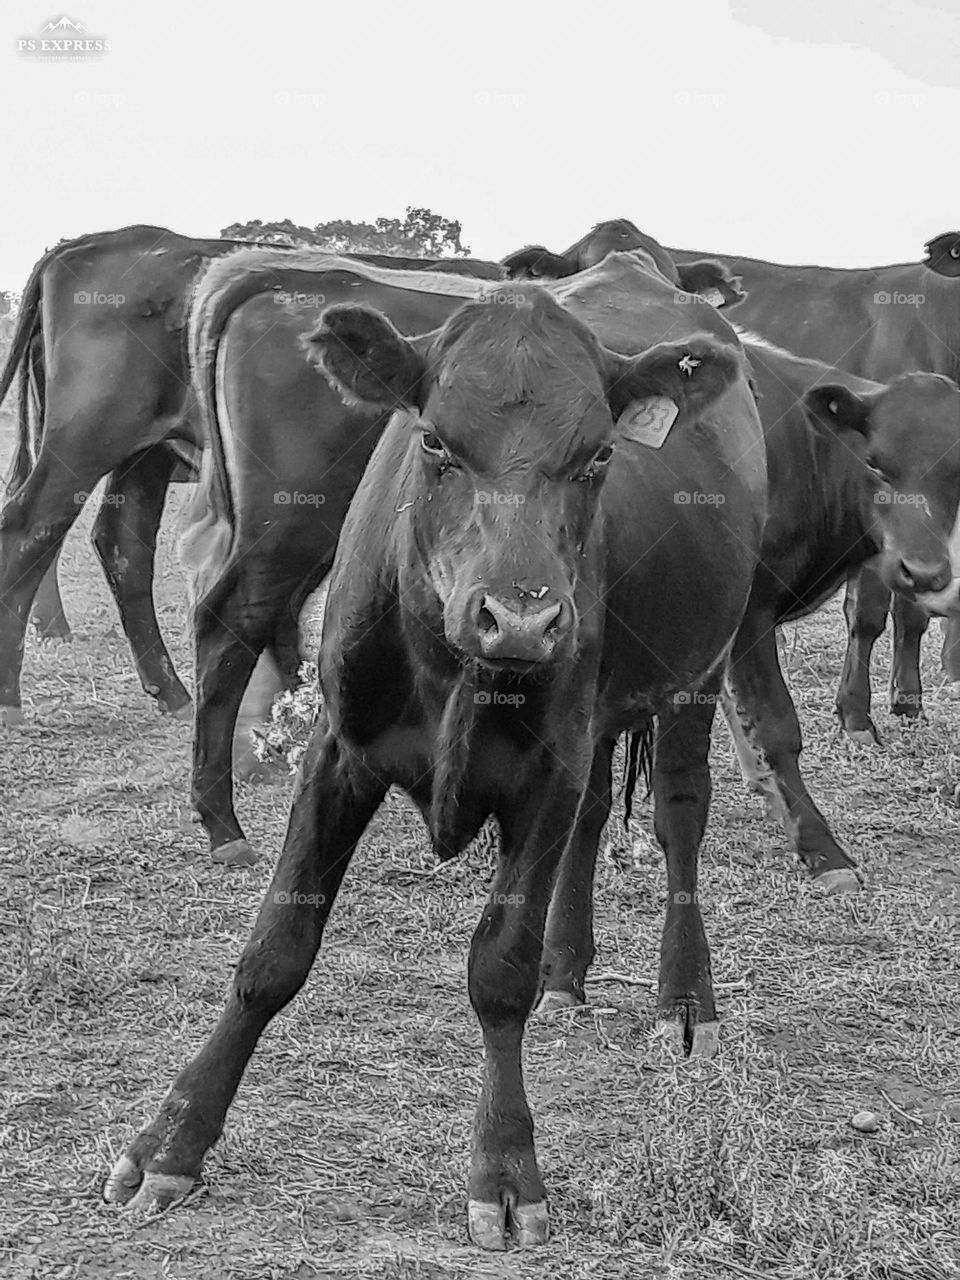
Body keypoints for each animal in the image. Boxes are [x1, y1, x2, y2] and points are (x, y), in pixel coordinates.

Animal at [0, 224, 503, 727]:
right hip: (99, 442)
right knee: (32, 530)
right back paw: (10, 692)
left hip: (156, 461)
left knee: (124, 544)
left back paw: (183, 692)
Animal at [105, 255, 768, 1247]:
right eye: (436, 444)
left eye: (599, 456)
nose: (522, 619)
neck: (456, 667)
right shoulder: (338, 755)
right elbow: (274, 950)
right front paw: (172, 1139)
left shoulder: (549, 767)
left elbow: (499, 971)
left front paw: (506, 1169)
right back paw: (571, 970)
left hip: (699, 668)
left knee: (680, 818)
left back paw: (684, 1001)